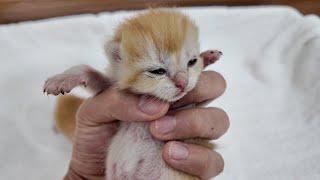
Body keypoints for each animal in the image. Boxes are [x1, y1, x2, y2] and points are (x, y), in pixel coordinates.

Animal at [43, 9, 221, 179]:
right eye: (157, 71)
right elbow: (89, 72)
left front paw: (207, 57)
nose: (183, 82)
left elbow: (203, 100)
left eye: (192, 62)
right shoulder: (109, 87)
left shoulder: (192, 103)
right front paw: (61, 79)